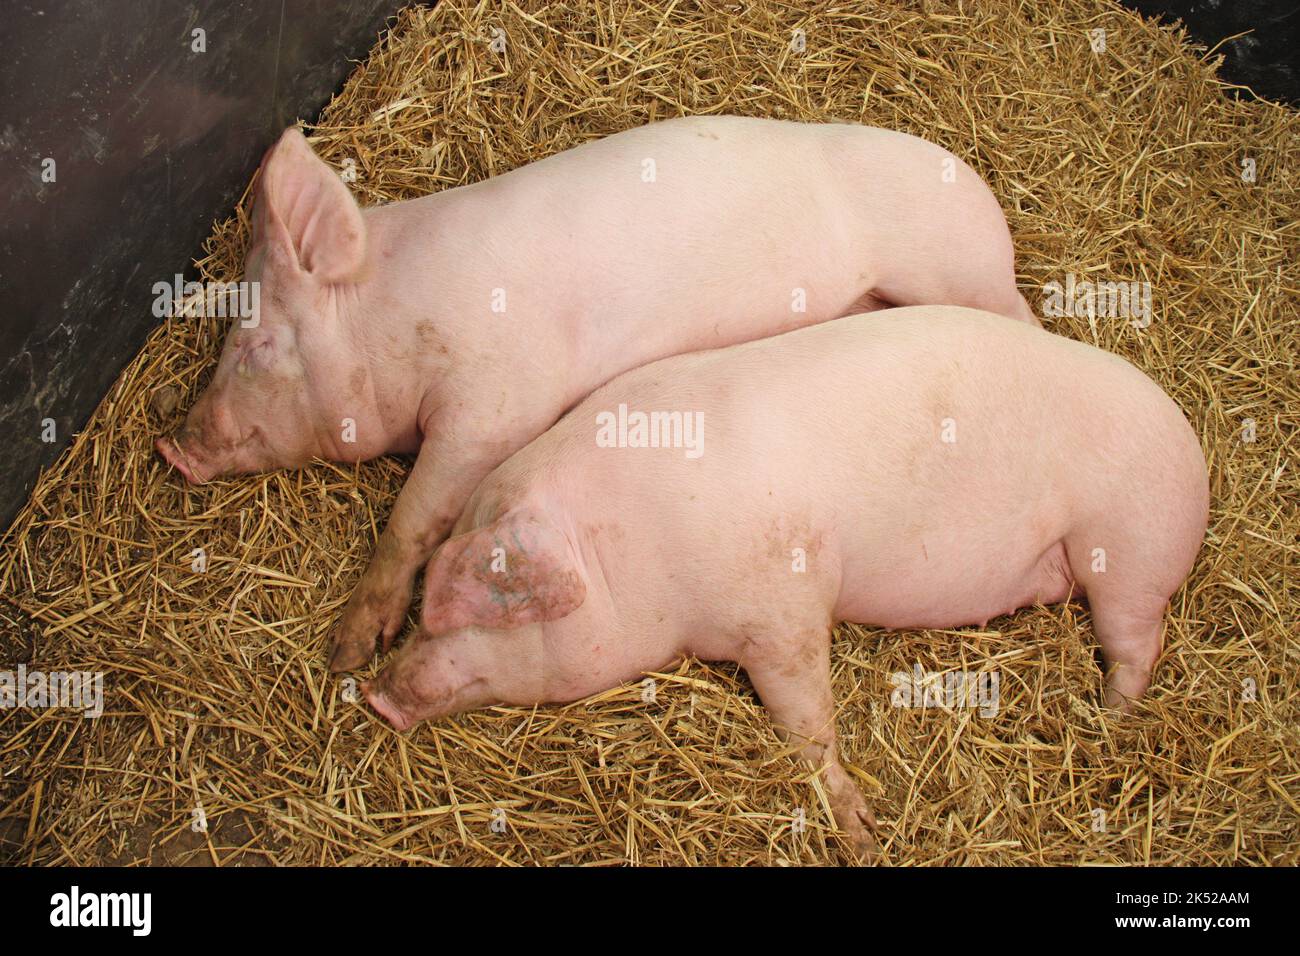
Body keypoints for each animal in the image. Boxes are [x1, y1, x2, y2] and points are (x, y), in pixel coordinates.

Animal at [154, 117, 1034, 671]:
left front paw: (346, 652)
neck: (400, 315)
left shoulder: (496, 403)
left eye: (258, 346)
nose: (174, 448)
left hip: (955, 265)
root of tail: (980, 187)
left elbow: (414, 518)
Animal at [358, 306, 1206, 858]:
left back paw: (1109, 718)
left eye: (480, 600)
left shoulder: (785, 609)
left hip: (1131, 549)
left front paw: (862, 833)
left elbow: (807, 720)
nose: (375, 695)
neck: (631, 548)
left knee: (1140, 642)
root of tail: (1191, 442)